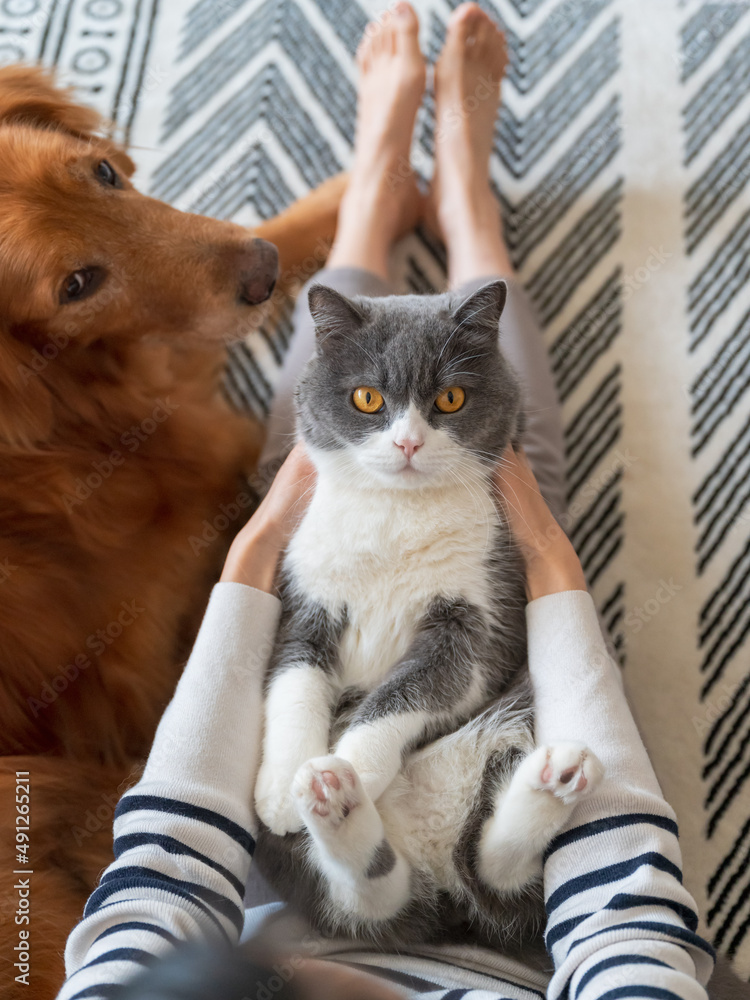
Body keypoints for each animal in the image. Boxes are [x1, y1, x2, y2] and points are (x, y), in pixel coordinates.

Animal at [253, 282, 604, 952]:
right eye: (367, 398)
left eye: (450, 398)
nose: (408, 443)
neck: (397, 514)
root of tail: (445, 893)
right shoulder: (304, 594)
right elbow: (293, 679)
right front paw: (282, 785)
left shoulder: (481, 612)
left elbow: (412, 688)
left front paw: (357, 761)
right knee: (370, 893)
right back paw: (330, 801)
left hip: (522, 703)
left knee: (492, 867)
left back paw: (555, 777)